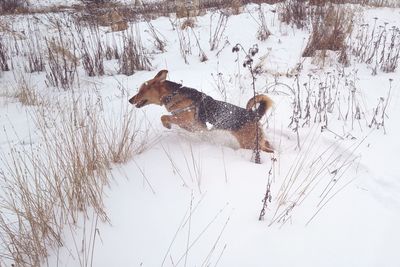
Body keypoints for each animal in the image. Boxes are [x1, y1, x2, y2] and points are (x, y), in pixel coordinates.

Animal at [130, 69, 274, 153]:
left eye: (141, 90)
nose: (130, 100)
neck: (172, 94)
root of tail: (253, 114)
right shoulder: (192, 127)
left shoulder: (185, 119)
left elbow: (165, 117)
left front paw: (167, 125)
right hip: (256, 140)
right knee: (268, 144)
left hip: (249, 143)